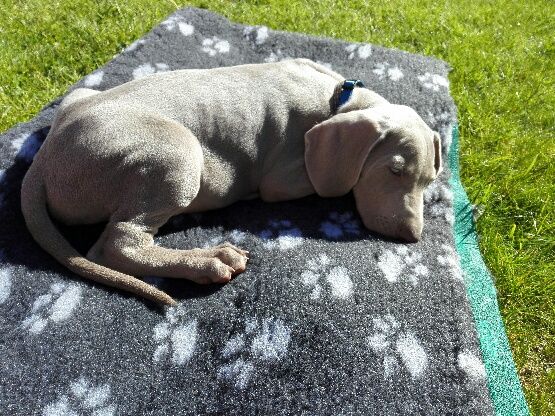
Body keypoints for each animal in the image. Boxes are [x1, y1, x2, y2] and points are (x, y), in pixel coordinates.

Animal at [19, 58, 440, 306]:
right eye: (394, 171)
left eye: (429, 180)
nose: (411, 237)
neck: (339, 98)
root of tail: (42, 163)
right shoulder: (283, 177)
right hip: (179, 151)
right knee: (118, 245)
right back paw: (209, 260)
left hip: (80, 96)